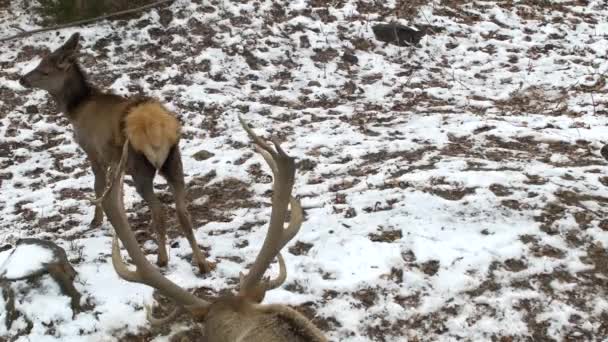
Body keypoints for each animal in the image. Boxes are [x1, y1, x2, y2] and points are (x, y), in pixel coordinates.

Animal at [19, 32, 213, 272]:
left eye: (45, 70)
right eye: (39, 63)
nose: (22, 79)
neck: (75, 110)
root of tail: (157, 128)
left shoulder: (93, 150)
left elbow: (98, 185)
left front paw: (96, 220)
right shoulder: (114, 159)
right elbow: (115, 189)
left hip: (140, 167)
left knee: (159, 210)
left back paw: (162, 259)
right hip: (174, 161)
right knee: (183, 211)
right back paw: (202, 263)